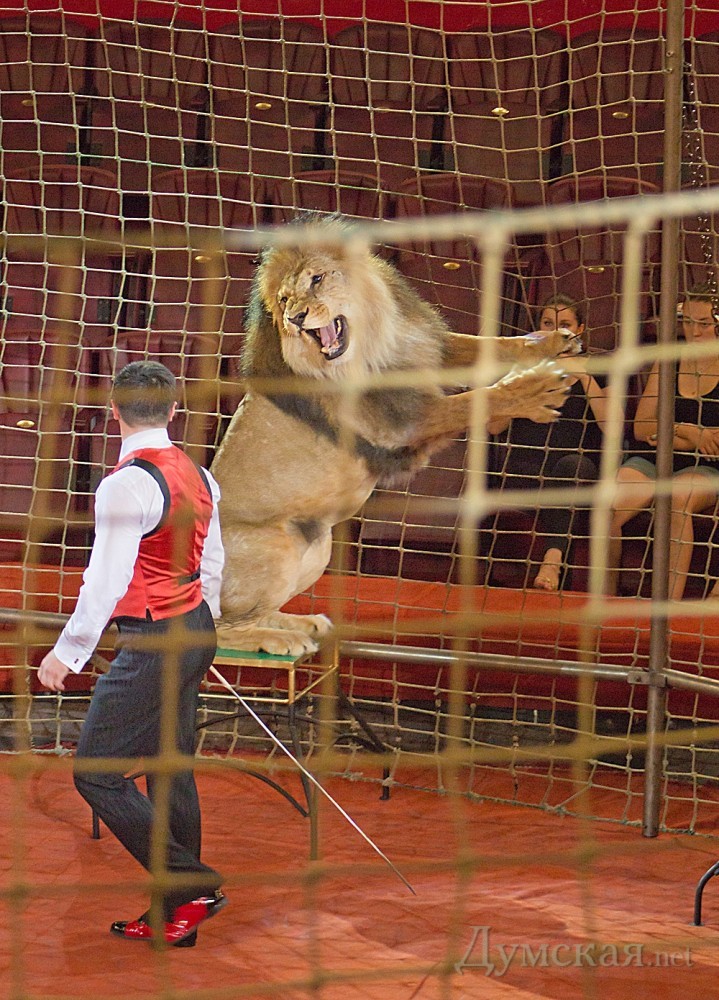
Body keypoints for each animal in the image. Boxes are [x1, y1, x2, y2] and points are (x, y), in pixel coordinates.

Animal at [210, 215, 577, 656]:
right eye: (283, 301)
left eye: (317, 279)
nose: (295, 319)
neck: (371, 341)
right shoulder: (404, 422)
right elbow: (479, 399)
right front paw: (536, 389)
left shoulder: (425, 348)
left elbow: (489, 345)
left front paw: (552, 342)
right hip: (276, 546)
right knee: (216, 627)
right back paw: (279, 638)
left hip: (317, 546)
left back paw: (302, 623)